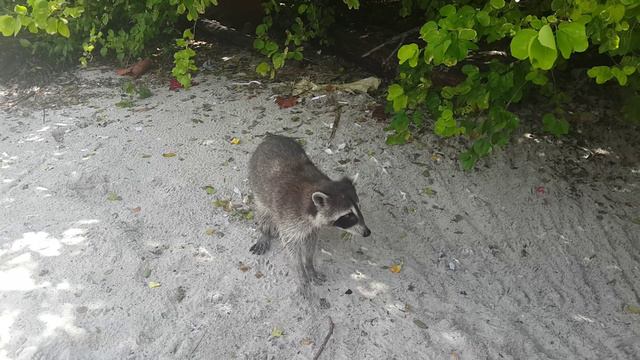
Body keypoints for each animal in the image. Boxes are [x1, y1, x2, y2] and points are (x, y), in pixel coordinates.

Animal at [249, 134, 370, 296]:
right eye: (348, 215)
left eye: (359, 207)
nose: (367, 232)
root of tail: (272, 137)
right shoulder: (289, 217)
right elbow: (291, 246)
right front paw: (300, 271)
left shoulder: (312, 226)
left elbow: (310, 242)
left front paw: (309, 264)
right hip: (258, 187)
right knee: (263, 213)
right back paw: (265, 231)